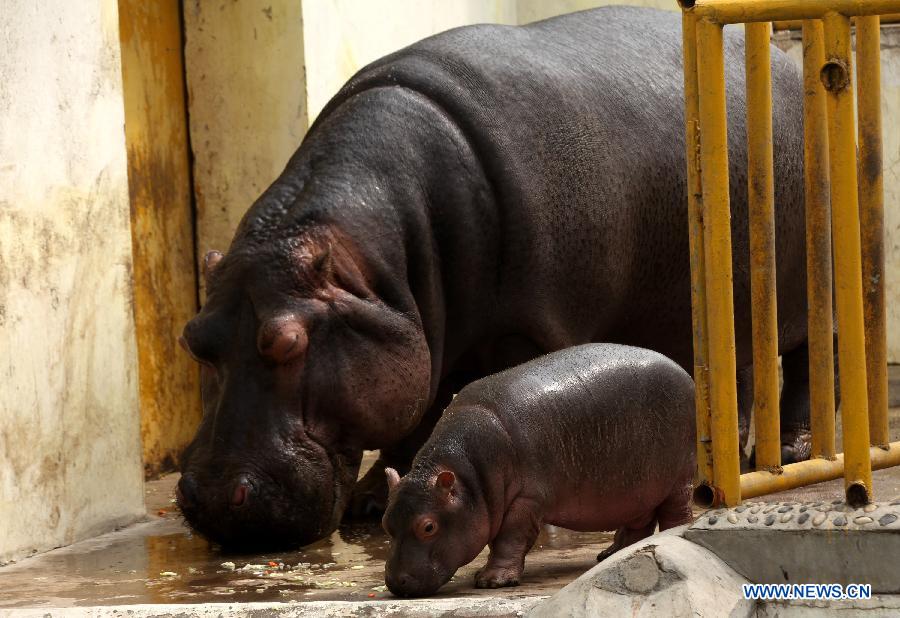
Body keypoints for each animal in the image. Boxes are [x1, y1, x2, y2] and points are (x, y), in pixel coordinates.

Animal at [179, 3, 812, 544]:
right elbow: (415, 412)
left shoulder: (523, 328)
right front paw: (373, 499)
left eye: (287, 341)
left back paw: (796, 452)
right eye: (193, 339)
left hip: (803, 285)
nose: (210, 500)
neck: (375, 263)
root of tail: (786, 62)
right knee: (739, 372)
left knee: (803, 356)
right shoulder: (418, 331)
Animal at [380, 344, 696, 596]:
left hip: (679, 478)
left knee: (676, 513)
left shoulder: (526, 500)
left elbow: (509, 538)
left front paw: (492, 581)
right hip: (637, 487)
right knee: (638, 522)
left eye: (428, 526)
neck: (468, 478)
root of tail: (685, 372)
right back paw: (610, 555)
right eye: (385, 522)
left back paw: (670, 540)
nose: (395, 583)